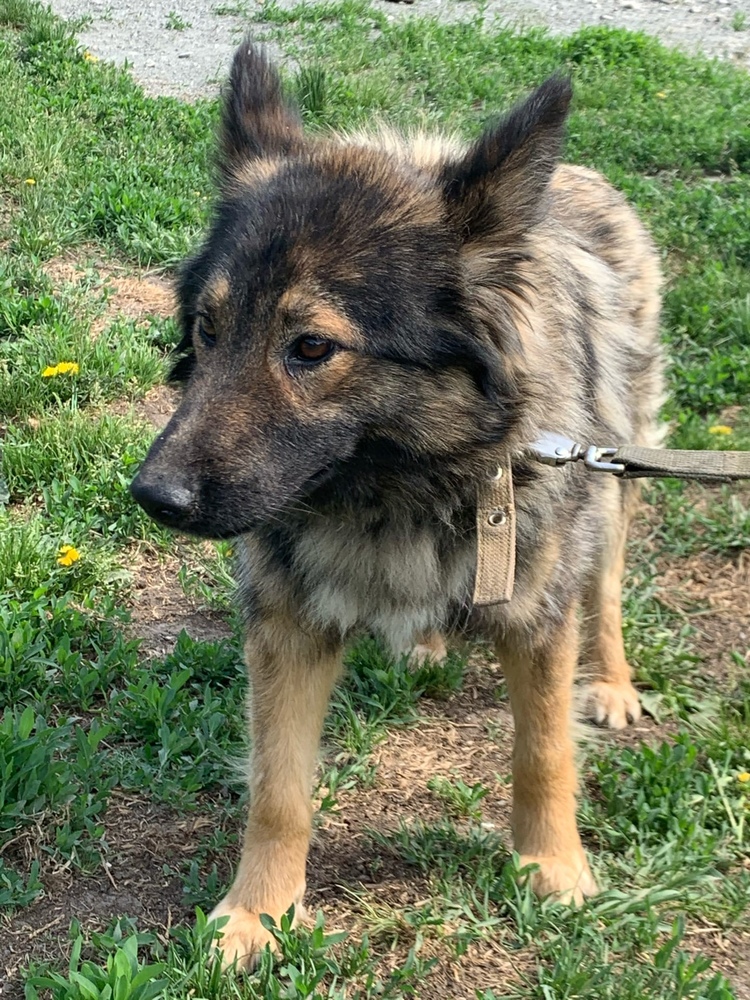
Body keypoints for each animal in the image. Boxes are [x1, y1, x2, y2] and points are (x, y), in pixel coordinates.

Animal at [130, 40, 664, 968]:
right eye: (207, 328)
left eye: (311, 347)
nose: (153, 496)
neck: (397, 488)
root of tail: (584, 175)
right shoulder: (288, 624)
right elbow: (278, 791)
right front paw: (257, 915)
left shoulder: (537, 614)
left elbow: (545, 751)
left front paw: (554, 868)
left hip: (611, 486)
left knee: (604, 593)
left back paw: (612, 683)